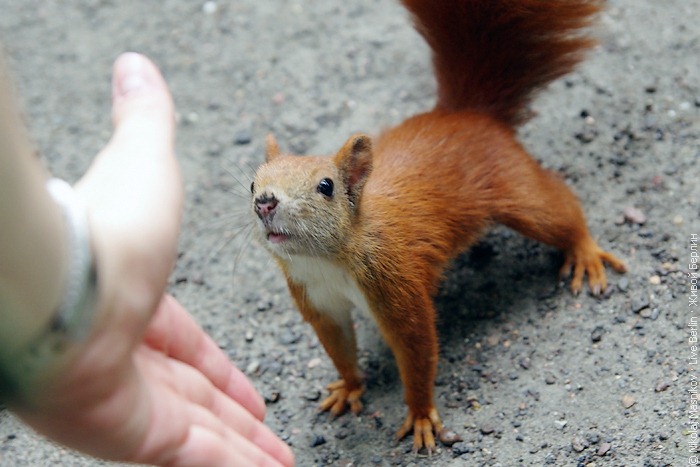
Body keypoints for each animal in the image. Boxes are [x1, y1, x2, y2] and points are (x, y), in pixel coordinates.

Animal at [250, 0, 626, 453]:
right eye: (252, 182)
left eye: (326, 186)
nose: (265, 202)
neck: (326, 261)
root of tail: (466, 114)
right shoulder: (316, 300)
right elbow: (339, 347)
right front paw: (350, 386)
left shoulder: (395, 281)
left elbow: (417, 349)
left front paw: (419, 415)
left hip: (517, 193)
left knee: (557, 207)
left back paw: (584, 251)